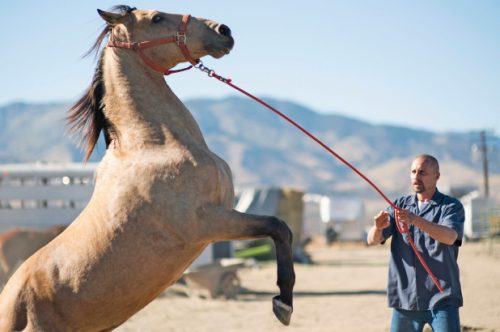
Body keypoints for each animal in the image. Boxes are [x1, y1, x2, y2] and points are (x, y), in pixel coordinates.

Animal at [0, 6, 294, 330]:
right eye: (156, 18)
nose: (224, 31)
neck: (154, 145)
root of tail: (10, 304)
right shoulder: (207, 222)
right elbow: (278, 227)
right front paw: (283, 304)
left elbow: (282, 230)